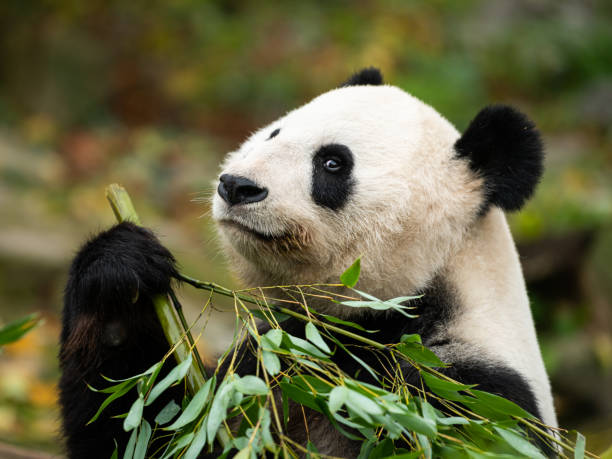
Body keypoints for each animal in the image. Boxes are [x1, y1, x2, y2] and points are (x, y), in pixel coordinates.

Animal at [59, 68, 556, 459]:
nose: (237, 186)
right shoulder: (265, 360)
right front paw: (120, 272)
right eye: (274, 133)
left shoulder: (466, 395)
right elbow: (141, 426)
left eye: (332, 163)